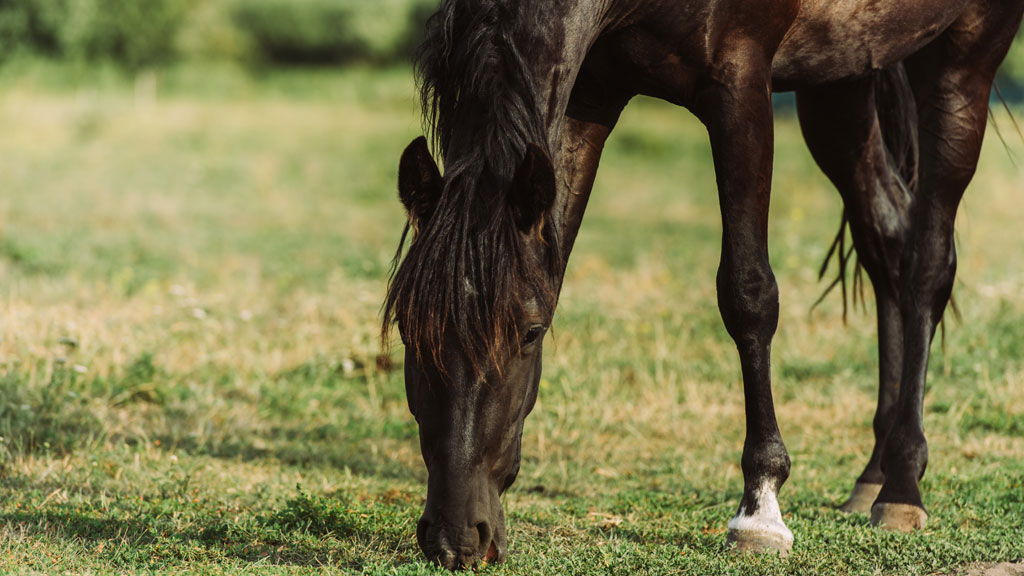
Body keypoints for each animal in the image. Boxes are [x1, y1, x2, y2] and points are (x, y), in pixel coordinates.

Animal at [382, 0, 1024, 565]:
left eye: (530, 332)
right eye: (408, 331)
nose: (457, 537)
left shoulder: (740, 84)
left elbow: (748, 293)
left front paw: (760, 511)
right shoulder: (591, 95)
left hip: (963, 58)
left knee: (927, 265)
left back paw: (903, 486)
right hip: (842, 77)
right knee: (885, 241)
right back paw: (874, 475)